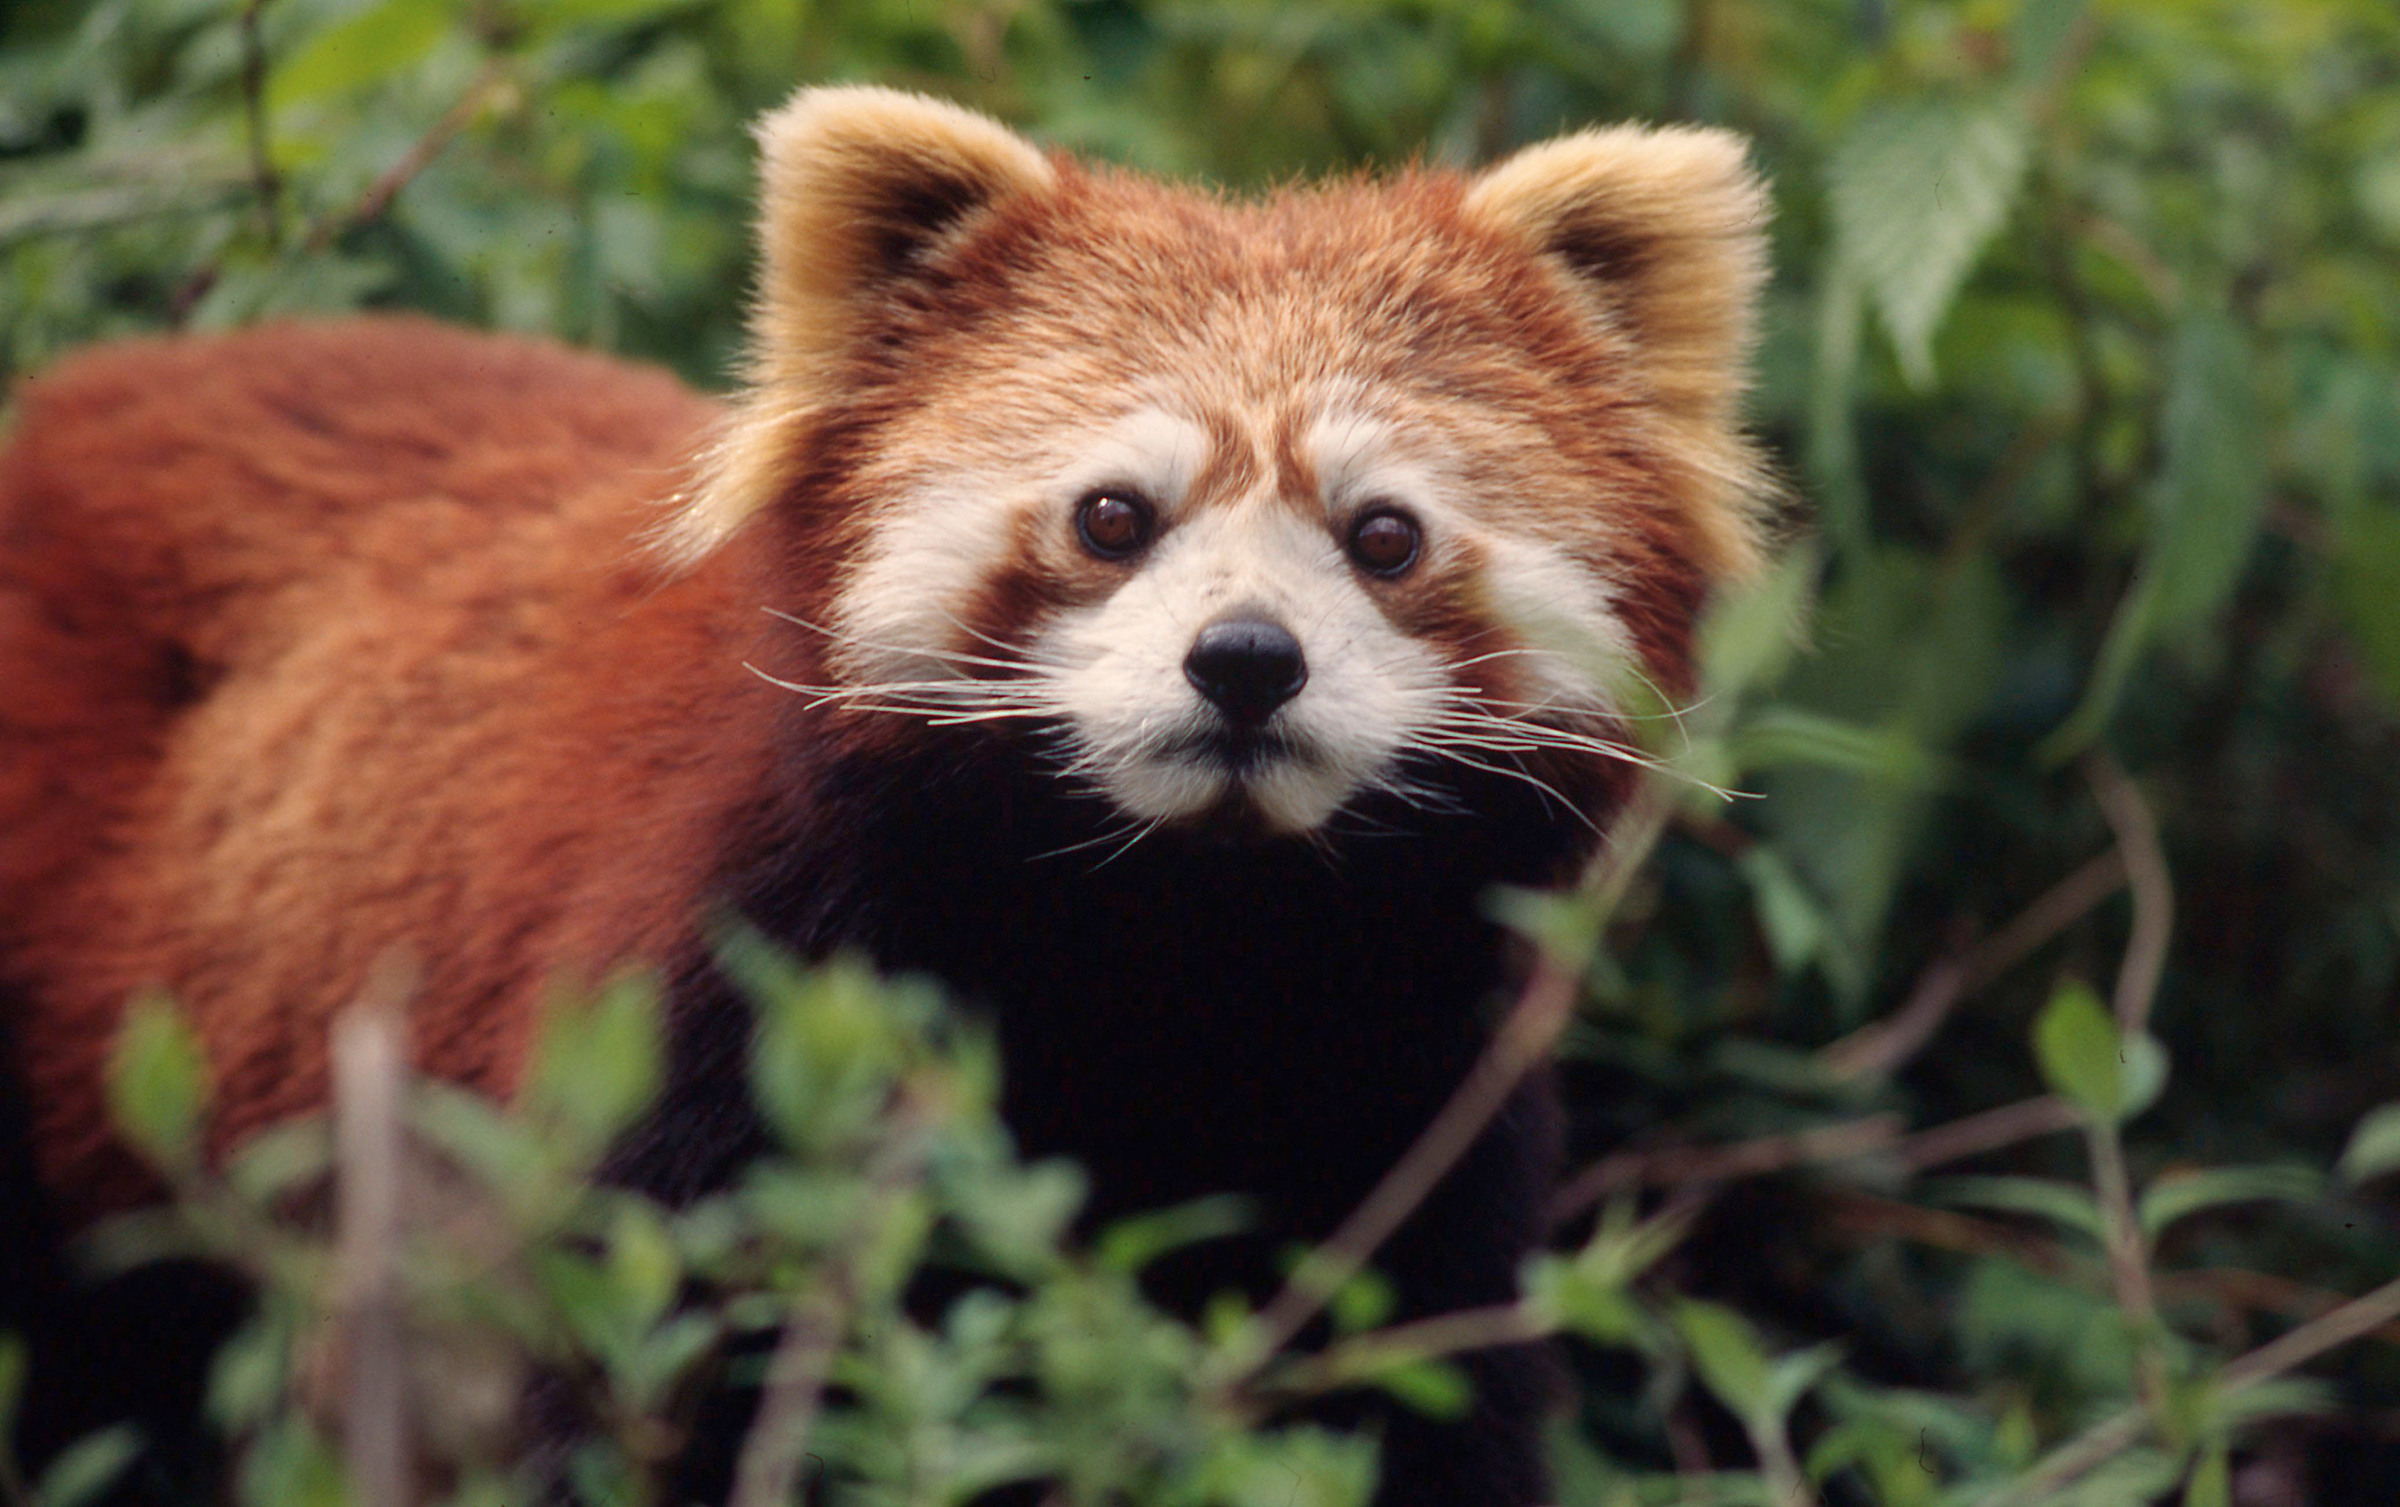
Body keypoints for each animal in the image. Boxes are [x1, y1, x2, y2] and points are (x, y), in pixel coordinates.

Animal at [0, 88, 1766, 1497]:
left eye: (1382, 534)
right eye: (1114, 516)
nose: (1246, 660)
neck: (1185, 937)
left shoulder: (1418, 1092)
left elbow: (1420, 1395)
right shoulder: (724, 1011)